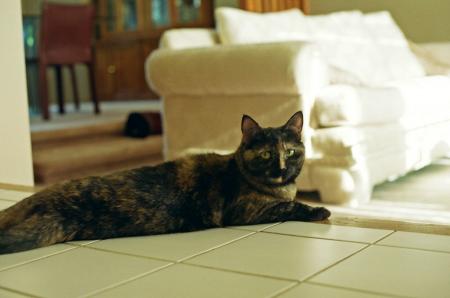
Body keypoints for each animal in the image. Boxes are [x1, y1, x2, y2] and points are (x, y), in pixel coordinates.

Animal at [0, 112, 330, 254]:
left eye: (291, 152)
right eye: (265, 154)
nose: (283, 168)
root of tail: (41, 196)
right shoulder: (245, 211)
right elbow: (289, 206)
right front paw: (319, 211)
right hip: (40, 231)